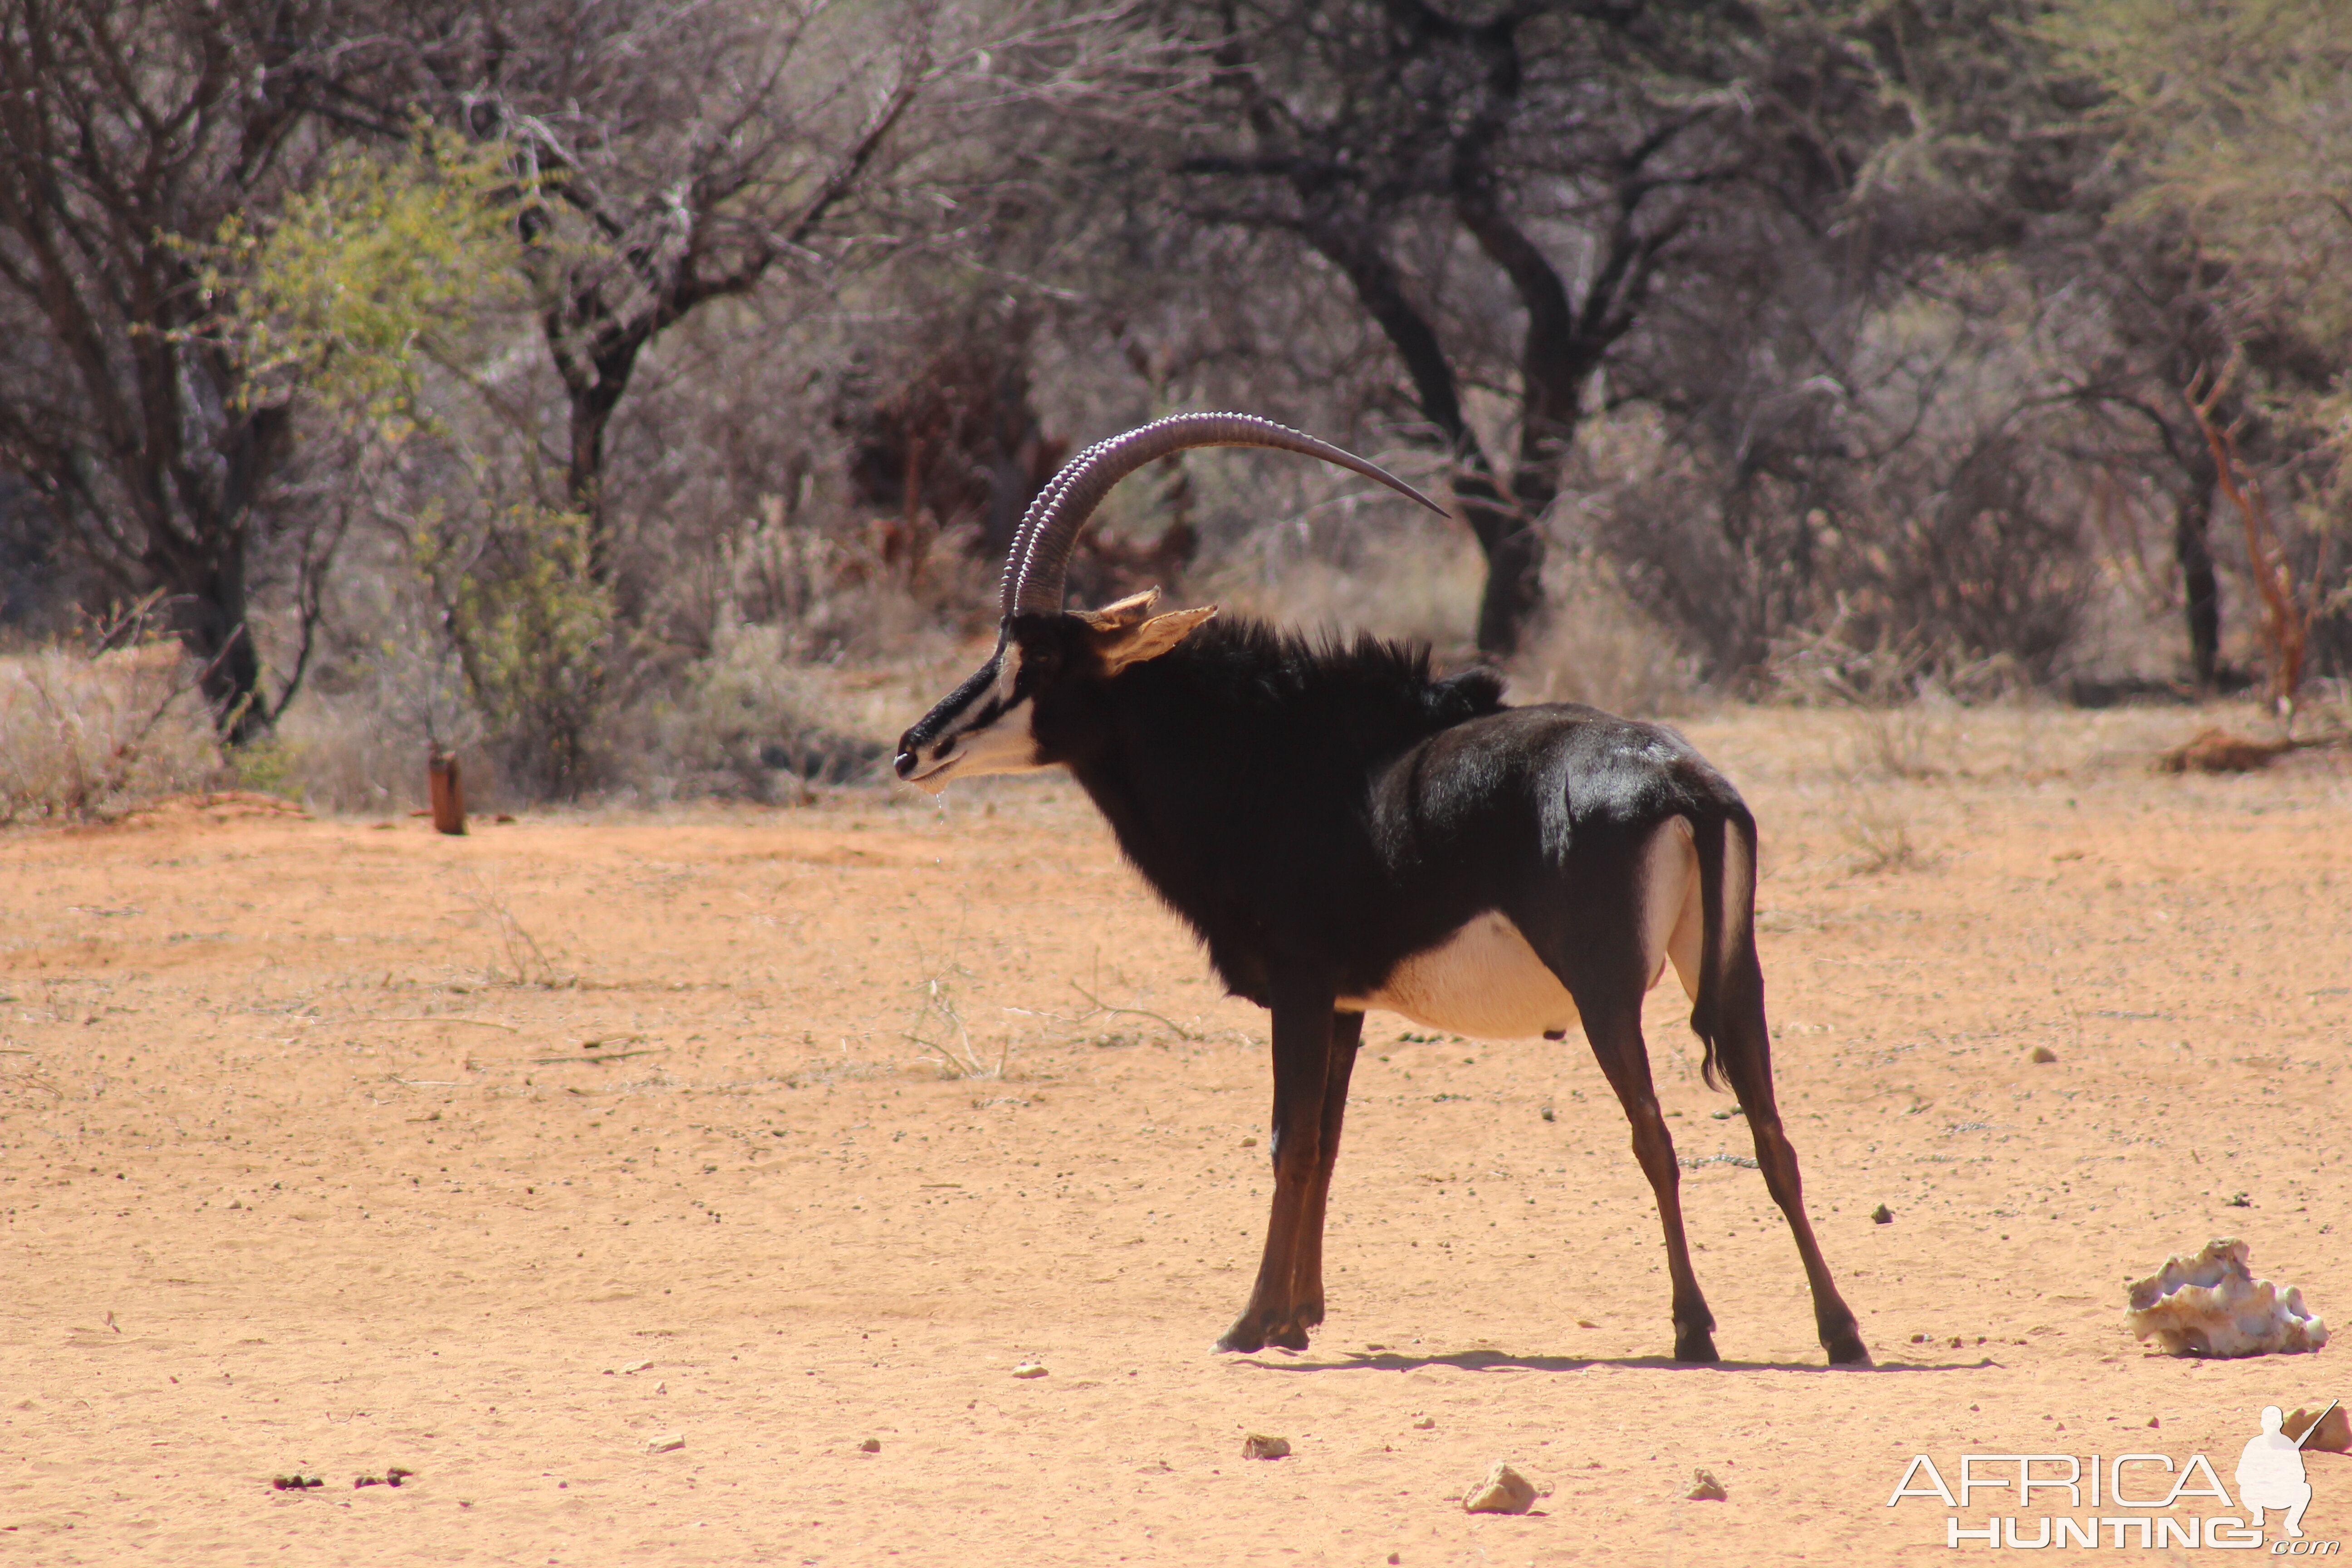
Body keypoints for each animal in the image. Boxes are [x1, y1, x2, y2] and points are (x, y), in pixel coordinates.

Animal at [889, 413, 1862, 1363]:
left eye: (1040, 661)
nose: (912, 748)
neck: (1268, 756)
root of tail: (1680, 780)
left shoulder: (1299, 985)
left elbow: (1288, 1139)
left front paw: (1250, 1323)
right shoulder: (1347, 1005)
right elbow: (1327, 1142)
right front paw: (1296, 1317)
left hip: (1604, 993)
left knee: (1653, 1136)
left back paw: (1693, 1328)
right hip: (1730, 977)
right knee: (1771, 1134)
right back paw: (1837, 1330)